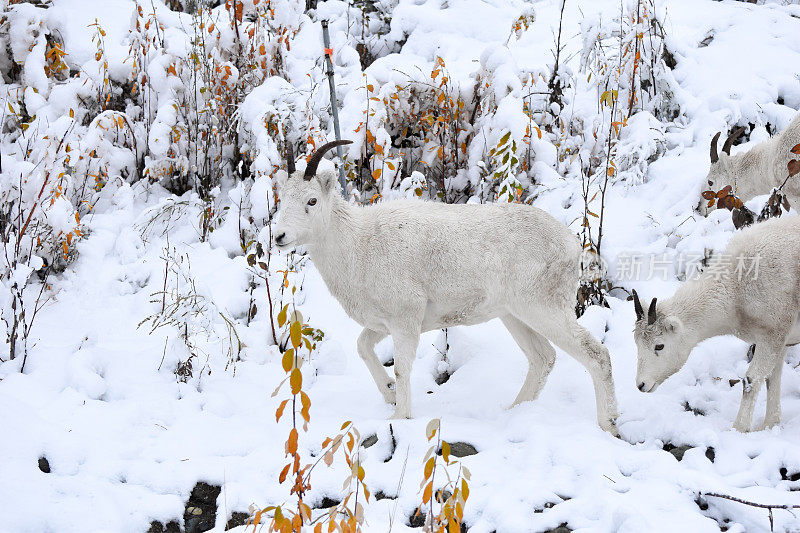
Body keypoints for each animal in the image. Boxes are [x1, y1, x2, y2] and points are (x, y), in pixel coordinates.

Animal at [274, 140, 620, 432]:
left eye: (311, 201)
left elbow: (402, 368)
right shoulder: (384, 324)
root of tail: (571, 245)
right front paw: (389, 395)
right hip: (514, 316)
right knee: (543, 358)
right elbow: (363, 347)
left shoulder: (405, 320)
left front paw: (399, 417)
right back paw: (513, 411)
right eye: (283, 199)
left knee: (597, 355)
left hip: (543, 310)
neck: (359, 244)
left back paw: (608, 425)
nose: (279, 237)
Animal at [632, 214, 800, 430]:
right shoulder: (780, 340)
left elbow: (751, 380)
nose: (641, 385)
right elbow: (772, 378)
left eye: (659, 346)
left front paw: (739, 429)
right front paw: (770, 425)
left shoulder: (772, 336)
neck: (736, 289)